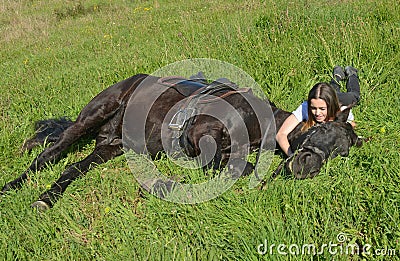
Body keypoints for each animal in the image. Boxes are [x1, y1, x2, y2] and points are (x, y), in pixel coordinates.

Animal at [0, 73, 362, 209]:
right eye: (320, 128)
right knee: (50, 153)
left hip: (109, 146)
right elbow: (236, 167)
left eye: (340, 153)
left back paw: (46, 198)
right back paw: (12, 187)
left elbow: (238, 167)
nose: (309, 165)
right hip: (91, 117)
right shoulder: (199, 134)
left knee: (72, 168)